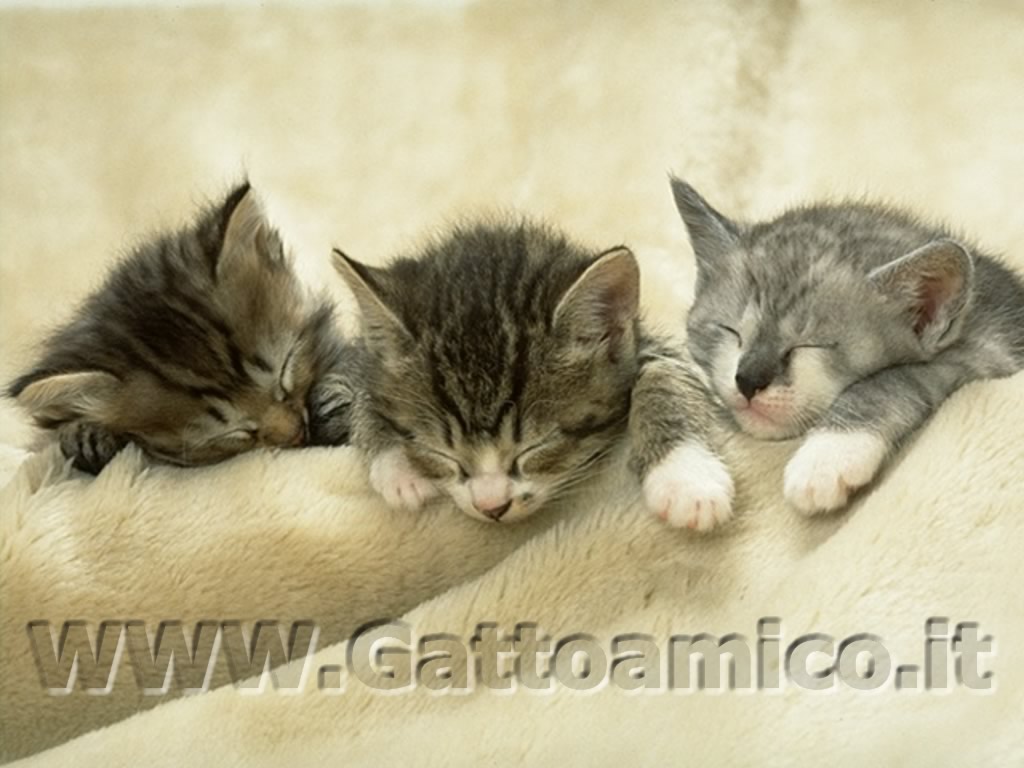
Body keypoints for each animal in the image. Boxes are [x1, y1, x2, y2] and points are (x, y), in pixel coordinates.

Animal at [331, 218, 734, 530]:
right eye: (441, 453)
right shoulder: (356, 358)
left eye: (537, 447)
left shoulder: (644, 347)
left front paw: (686, 479)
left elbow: (667, 373)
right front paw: (400, 468)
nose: (491, 507)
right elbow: (361, 388)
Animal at [670, 177, 1024, 513]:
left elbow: (891, 380)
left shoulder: (992, 354)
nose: (748, 380)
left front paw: (827, 457)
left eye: (809, 346)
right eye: (730, 331)